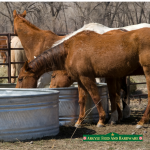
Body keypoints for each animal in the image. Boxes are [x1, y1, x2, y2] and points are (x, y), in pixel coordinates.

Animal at [15, 28, 150, 129]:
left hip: (146, 72)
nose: (19, 90)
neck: (70, 49)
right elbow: (82, 100)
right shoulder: (80, 79)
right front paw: (79, 121)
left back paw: (141, 122)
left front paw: (101, 120)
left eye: (21, 78)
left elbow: (95, 97)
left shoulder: (87, 77)